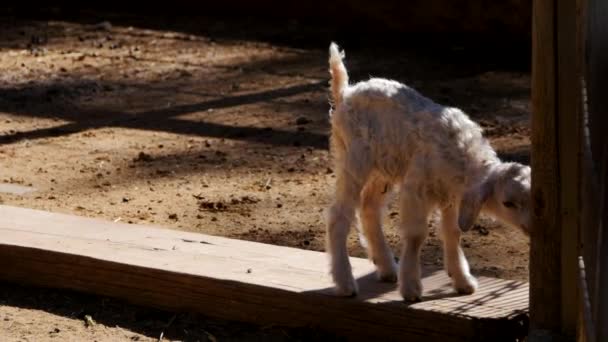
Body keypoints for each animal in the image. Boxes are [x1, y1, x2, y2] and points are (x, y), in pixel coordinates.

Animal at [326, 42, 528, 302]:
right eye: (508, 203)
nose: (531, 227)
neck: (464, 154)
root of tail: (345, 93)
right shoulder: (417, 188)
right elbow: (416, 235)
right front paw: (411, 288)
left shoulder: (452, 196)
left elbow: (452, 232)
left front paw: (462, 281)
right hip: (354, 160)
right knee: (338, 216)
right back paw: (345, 283)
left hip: (383, 168)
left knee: (370, 207)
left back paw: (387, 267)